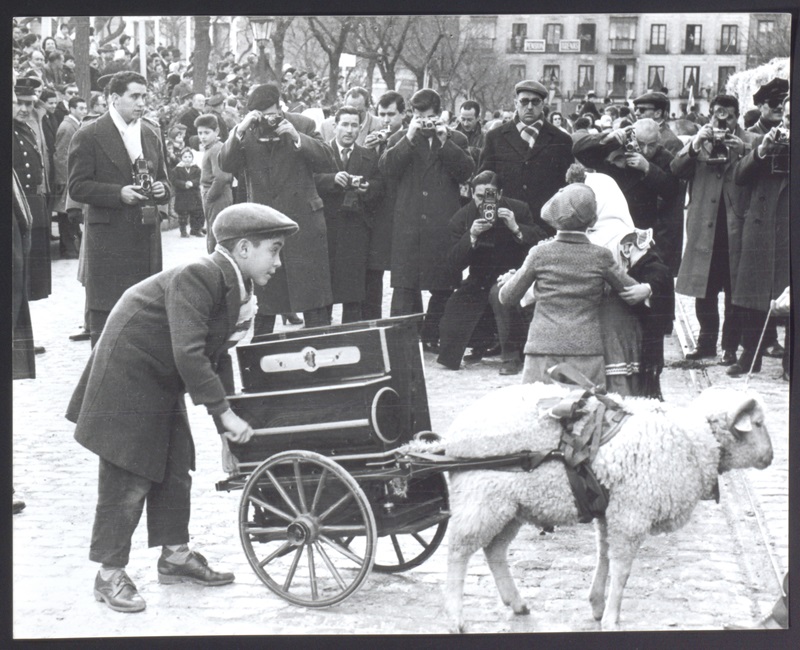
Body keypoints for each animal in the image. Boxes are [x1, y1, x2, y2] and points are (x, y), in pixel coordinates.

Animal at [440, 382, 772, 632]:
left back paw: (516, 602)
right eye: (757, 423)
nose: (771, 458)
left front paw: (598, 605)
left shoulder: (611, 511)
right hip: (481, 499)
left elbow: (604, 557)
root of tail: (452, 438)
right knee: (457, 553)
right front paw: (612, 618)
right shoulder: (631, 515)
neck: (694, 439)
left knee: (493, 551)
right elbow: (622, 570)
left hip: (510, 506)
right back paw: (455, 617)